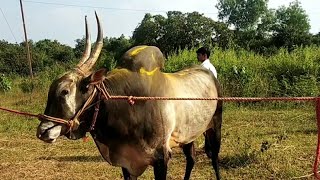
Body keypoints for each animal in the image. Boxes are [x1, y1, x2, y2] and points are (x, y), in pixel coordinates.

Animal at [36, 13, 222, 180]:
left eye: (65, 91)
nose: (43, 131)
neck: (125, 105)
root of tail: (208, 73)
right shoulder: (127, 163)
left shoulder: (161, 158)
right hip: (188, 136)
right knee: (191, 160)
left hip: (215, 126)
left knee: (214, 159)